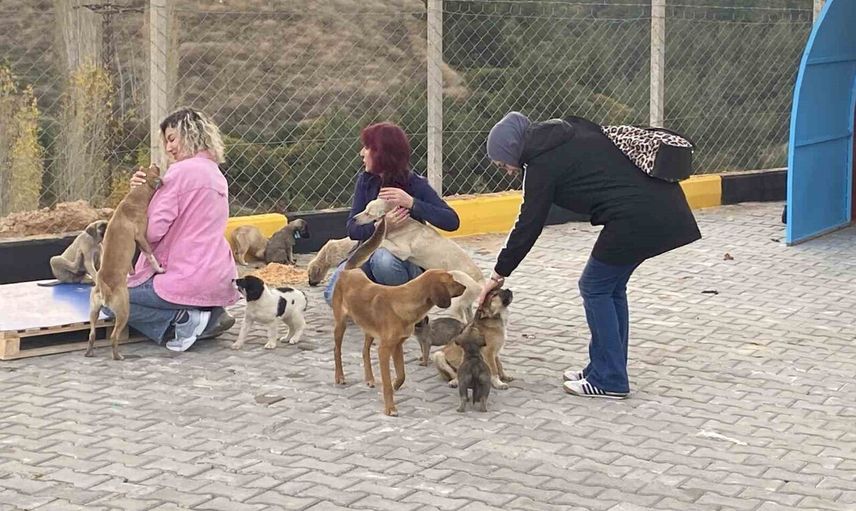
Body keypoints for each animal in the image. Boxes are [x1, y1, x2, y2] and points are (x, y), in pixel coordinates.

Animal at [86, 165, 164, 360]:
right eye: (154, 171)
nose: (156, 165)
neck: (134, 198)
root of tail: (104, 288)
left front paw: (132, 272)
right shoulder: (141, 238)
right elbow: (151, 254)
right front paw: (159, 269)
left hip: (93, 311)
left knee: (91, 334)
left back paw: (89, 352)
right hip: (123, 311)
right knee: (114, 336)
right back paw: (117, 356)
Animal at [332, 217, 466, 416]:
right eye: (451, 281)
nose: (465, 286)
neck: (404, 302)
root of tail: (349, 270)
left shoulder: (397, 346)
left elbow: (402, 374)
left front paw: (396, 385)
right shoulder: (384, 350)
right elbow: (387, 382)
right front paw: (390, 407)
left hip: (369, 329)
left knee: (364, 351)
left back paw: (369, 378)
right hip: (341, 323)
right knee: (337, 350)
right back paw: (340, 376)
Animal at [352, 198, 483, 321]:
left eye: (368, 213)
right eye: (364, 209)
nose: (354, 219)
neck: (401, 225)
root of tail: (480, 282)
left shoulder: (403, 251)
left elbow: (383, 241)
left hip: (456, 292)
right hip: (466, 304)